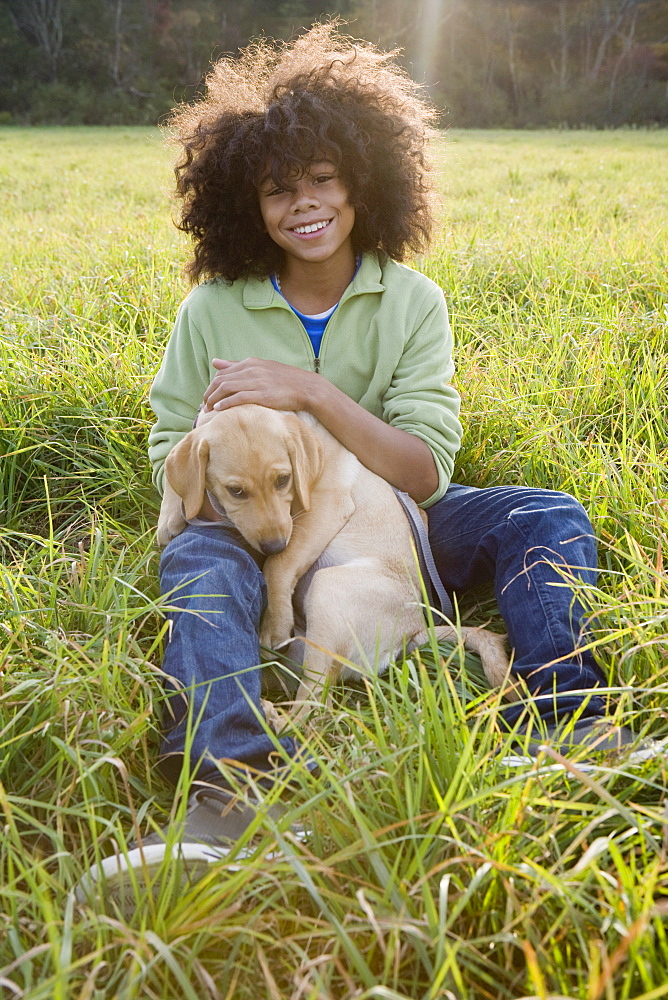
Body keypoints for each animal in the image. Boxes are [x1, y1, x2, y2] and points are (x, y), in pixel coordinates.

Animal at [157, 402, 512, 724]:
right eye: (236, 491)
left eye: (283, 480)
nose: (273, 545)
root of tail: (411, 633)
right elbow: (178, 473)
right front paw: (171, 515)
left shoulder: (325, 505)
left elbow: (279, 565)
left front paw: (275, 624)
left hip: (327, 591)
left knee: (316, 706)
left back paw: (277, 719)